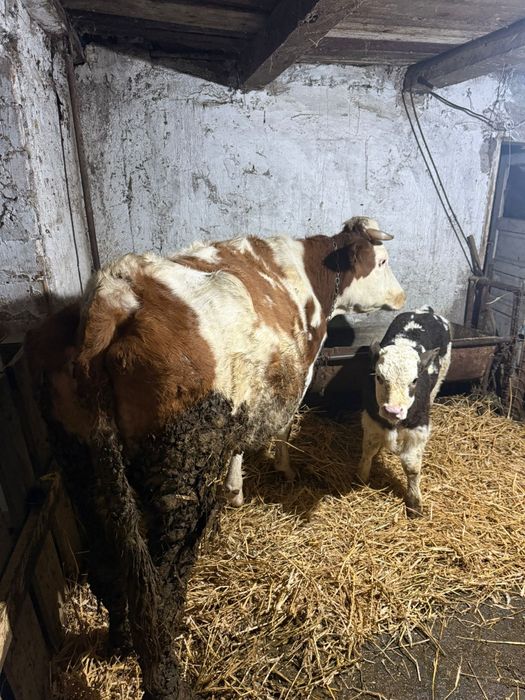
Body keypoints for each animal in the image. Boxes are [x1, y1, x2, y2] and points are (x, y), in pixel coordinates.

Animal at [26, 216, 405, 699]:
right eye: (384, 261)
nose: (402, 297)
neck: (306, 271)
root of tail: (111, 296)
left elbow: (239, 444)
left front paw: (235, 489)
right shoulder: (295, 376)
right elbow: (281, 429)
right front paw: (276, 472)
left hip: (81, 466)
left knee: (109, 568)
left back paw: (119, 642)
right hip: (179, 468)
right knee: (161, 579)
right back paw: (166, 666)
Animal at [357, 307, 452, 516]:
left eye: (415, 380)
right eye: (379, 377)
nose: (393, 410)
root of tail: (425, 310)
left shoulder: (419, 429)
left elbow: (411, 466)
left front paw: (414, 502)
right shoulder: (371, 419)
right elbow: (368, 450)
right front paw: (361, 477)